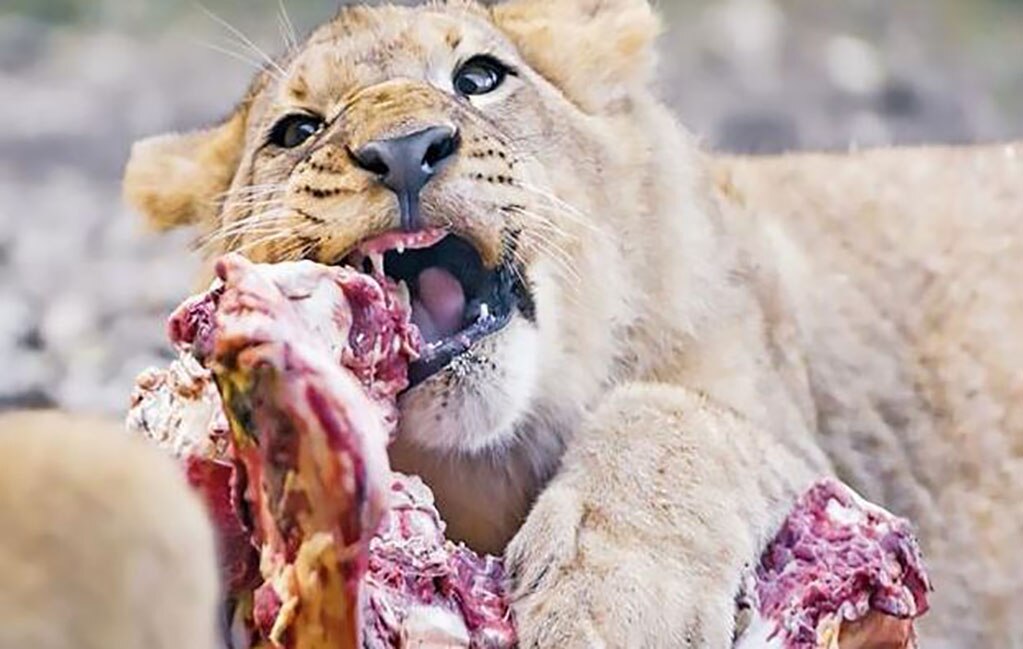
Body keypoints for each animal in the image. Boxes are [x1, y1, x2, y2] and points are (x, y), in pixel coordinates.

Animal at [3, 0, 1020, 646]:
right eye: (296, 129)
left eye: (479, 76)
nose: (405, 149)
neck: (485, 468)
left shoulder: (795, 427)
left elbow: (672, 422)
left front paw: (607, 605)